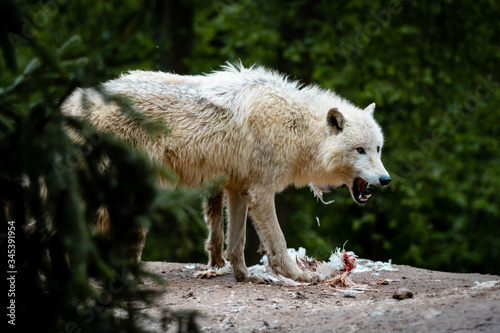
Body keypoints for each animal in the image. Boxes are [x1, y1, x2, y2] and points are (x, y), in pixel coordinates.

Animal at [60, 63, 390, 282]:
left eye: (377, 149)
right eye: (360, 150)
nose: (386, 180)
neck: (296, 128)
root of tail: (70, 106)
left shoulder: (238, 188)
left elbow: (237, 242)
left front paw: (244, 276)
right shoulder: (261, 192)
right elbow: (278, 242)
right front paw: (298, 275)